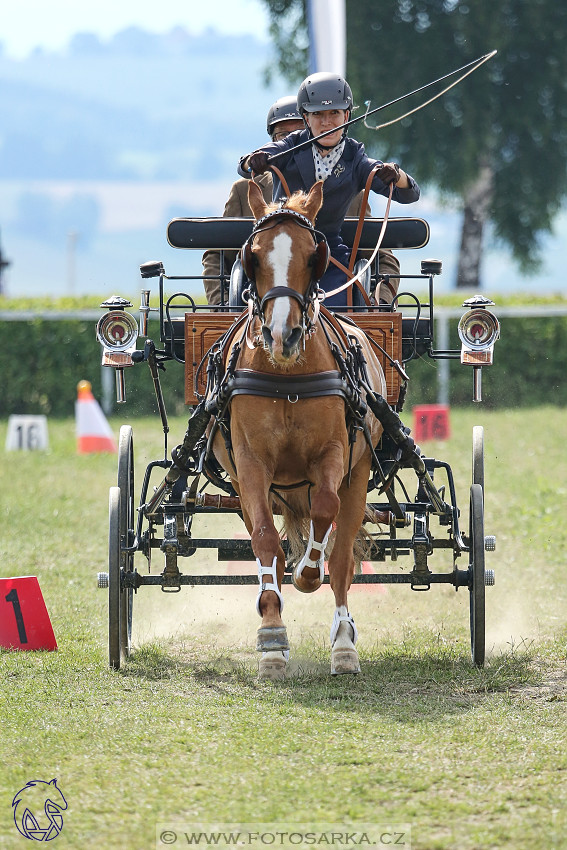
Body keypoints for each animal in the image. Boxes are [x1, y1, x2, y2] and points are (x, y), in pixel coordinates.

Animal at [211, 179, 388, 676]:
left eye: (315, 257)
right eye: (253, 255)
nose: (281, 336)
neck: (287, 375)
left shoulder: (334, 455)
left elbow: (325, 516)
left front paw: (307, 574)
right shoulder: (250, 464)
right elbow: (265, 542)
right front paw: (272, 639)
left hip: (359, 473)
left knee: (342, 556)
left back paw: (344, 643)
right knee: (266, 541)